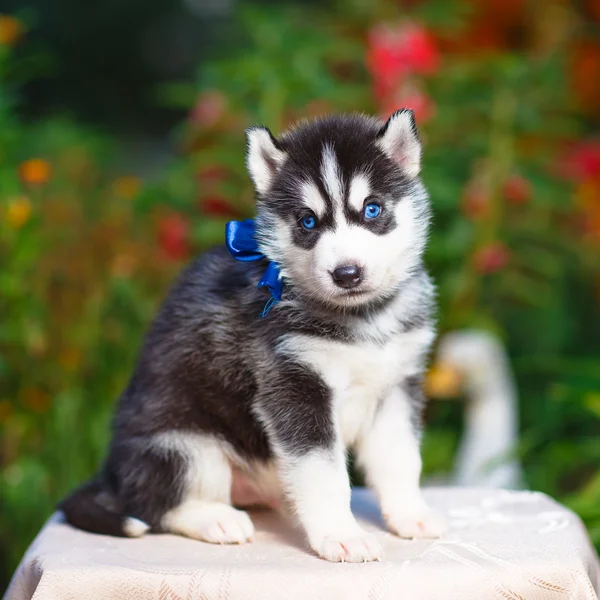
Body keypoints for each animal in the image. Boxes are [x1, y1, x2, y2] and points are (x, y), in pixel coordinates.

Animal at [61, 109, 446, 564]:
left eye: (372, 209)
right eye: (307, 221)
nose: (347, 273)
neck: (361, 319)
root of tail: (111, 476)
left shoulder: (396, 387)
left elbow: (400, 459)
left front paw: (411, 515)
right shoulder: (294, 387)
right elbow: (324, 473)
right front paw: (341, 534)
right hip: (185, 446)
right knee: (154, 506)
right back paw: (215, 519)